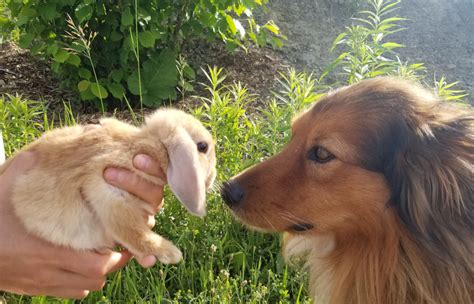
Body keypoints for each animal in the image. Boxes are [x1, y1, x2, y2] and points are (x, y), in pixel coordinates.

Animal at [0, 108, 217, 264]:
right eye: (203, 147)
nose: (214, 177)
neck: (147, 143)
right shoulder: (111, 196)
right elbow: (134, 233)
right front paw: (171, 253)